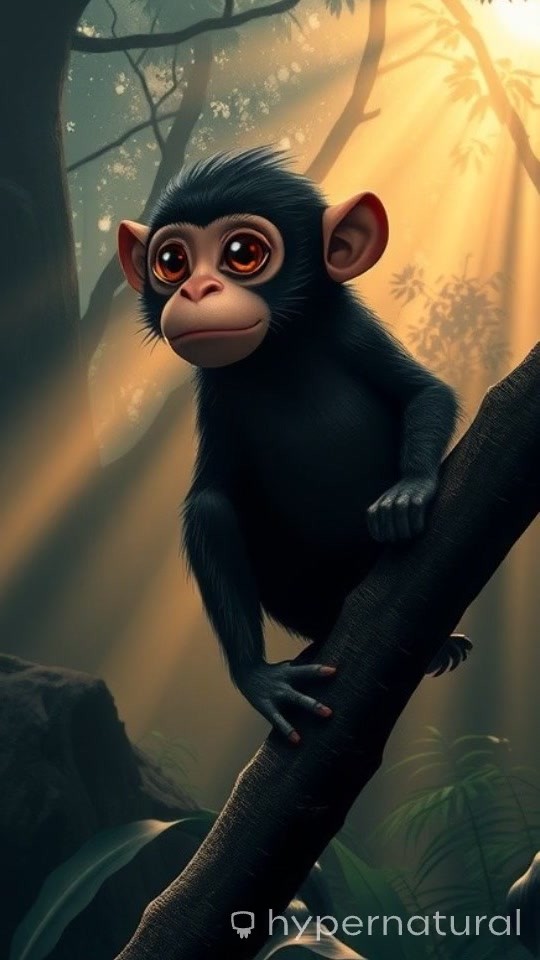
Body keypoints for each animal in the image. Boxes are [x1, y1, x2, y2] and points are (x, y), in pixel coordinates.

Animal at [118, 147, 471, 744]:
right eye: (171, 261)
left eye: (242, 254)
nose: (196, 290)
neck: (277, 353)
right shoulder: (217, 391)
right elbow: (209, 503)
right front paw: (257, 678)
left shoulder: (349, 330)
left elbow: (425, 393)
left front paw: (409, 491)